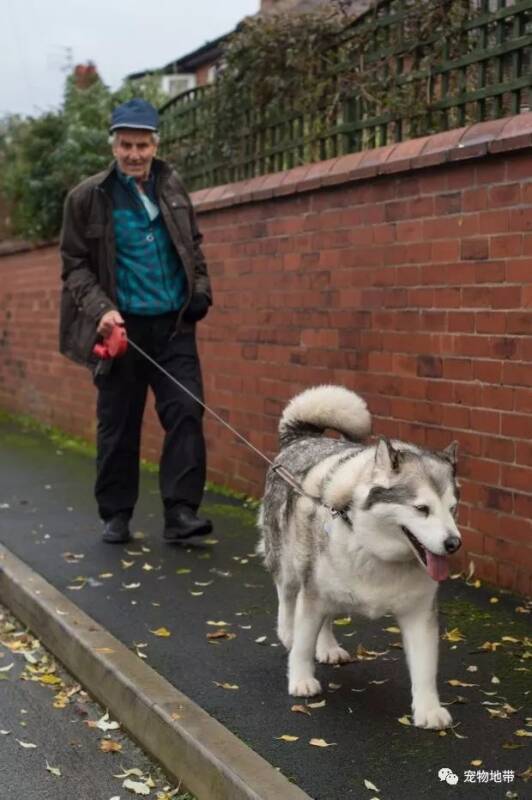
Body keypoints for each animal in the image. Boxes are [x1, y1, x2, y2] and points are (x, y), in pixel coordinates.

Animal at [258, 388, 462, 732]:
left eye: (452, 509)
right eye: (422, 509)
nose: (453, 544)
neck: (374, 548)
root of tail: (301, 439)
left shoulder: (419, 614)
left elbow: (425, 669)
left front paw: (428, 709)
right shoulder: (312, 594)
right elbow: (302, 645)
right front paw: (300, 679)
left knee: (324, 618)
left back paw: (326, 646)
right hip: (290, 564)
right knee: (287, 598)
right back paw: (288, 632)